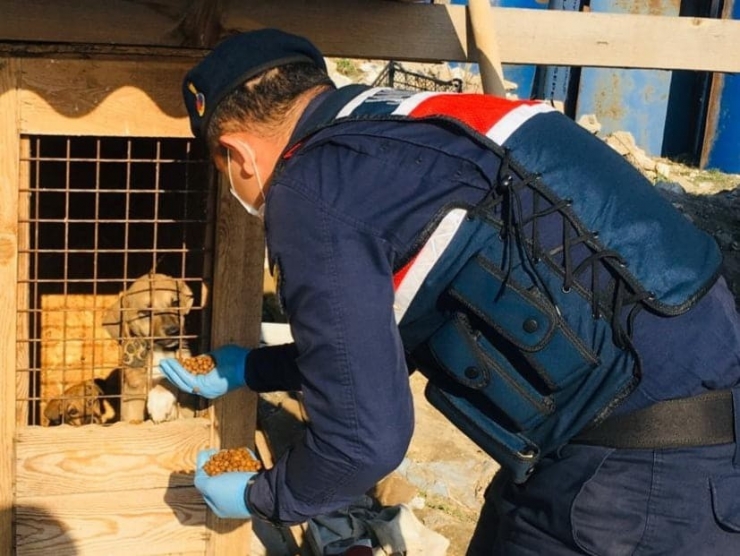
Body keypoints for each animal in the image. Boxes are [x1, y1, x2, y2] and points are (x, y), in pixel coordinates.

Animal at [105, 272, 197, 422]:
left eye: (175, 303)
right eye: (146, 313)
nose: (174, 331)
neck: (160, 352)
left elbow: (168, 378)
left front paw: (159, 401)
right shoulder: (130, 408)